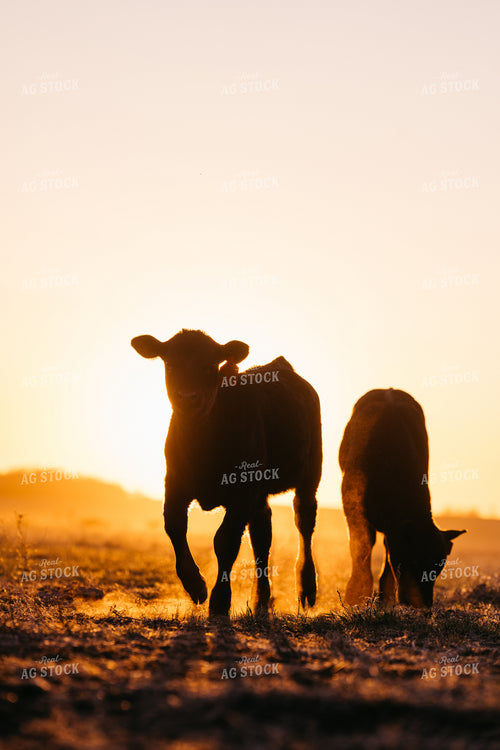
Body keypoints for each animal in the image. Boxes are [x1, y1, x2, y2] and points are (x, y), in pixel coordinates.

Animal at [131, 329, 322, 617]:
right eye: (171, 365)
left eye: (210, 366)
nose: (188, 397)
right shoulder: (175, 483)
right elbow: (174, 526)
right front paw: (195, 585)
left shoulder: (242, 492)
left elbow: (225, 541)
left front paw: (220, 601)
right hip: (260, 494)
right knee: (262, 535)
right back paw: (260, 600)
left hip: (310, 474)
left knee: (304, 522)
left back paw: (307, 588)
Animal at [339, 388, 465, 608]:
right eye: (413, 561)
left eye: (438, 569)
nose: (423, 604)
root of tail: (389, 389)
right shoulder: (353, 504)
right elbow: (362, 548)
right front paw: (355, 597)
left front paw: (385, 600)